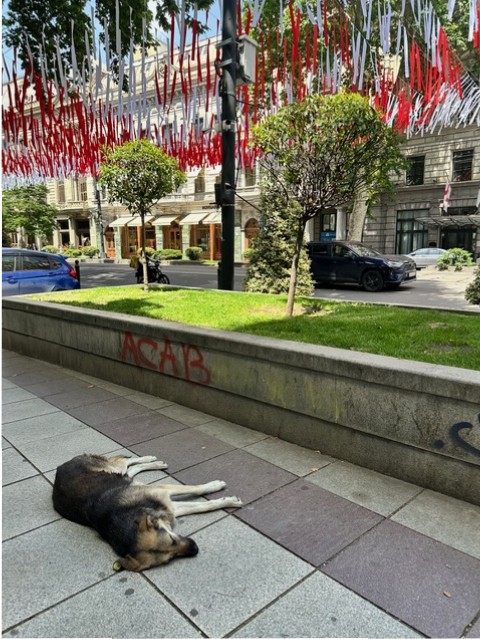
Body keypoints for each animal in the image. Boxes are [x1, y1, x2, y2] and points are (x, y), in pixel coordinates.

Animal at [53, 452, 244, 572]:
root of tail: (59, 467)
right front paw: (224, 500)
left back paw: (152, 460)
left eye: (172, 539)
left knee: (126, 462)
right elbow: (203, 505)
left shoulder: (162, 491)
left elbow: (198, 489)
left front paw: (218, 488)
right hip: (120, 473)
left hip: (115, 468)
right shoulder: (169, 507)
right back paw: (153, 464)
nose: (195, 549)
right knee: (130, 471)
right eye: (169, 558)